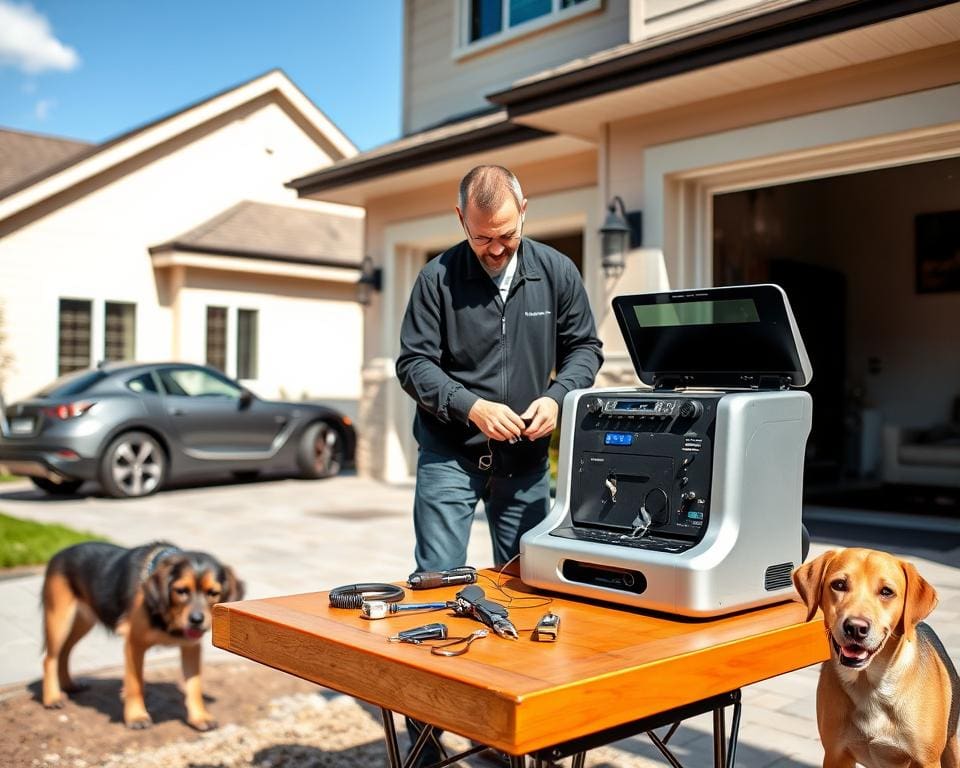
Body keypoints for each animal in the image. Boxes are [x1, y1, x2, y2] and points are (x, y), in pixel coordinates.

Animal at [42, 540, 244, 732]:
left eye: (213, 593)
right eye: (181, 591)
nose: (196, 620)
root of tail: (59, 552)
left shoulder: (191, 646)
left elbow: (194, 685)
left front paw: (200, 717)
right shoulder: (134, 643)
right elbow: (135, 684)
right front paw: (136, 717)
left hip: (84, 620)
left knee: (65, 651)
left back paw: (68, 685)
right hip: (59, 617)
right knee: (49, 658)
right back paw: (52, 698)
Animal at [792, 544, 956, 768]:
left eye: (886, 592)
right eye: (839, 584)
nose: (855, 627)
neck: (870, 686)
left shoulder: (926, 760)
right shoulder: (835, 754)